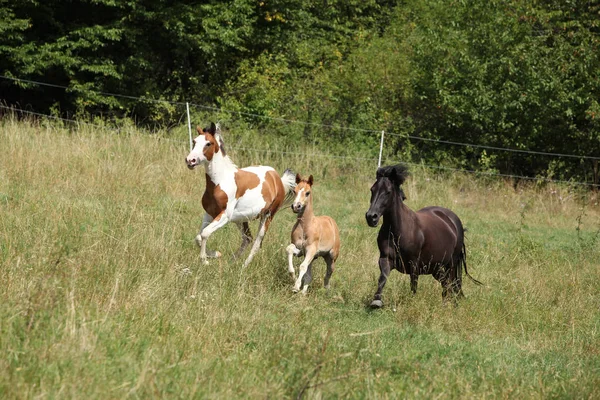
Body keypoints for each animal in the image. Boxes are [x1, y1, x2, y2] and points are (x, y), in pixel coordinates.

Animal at [184, 122, 294, 266]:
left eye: (208, 143)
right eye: (194, 141)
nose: (190, 160)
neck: (220, 181)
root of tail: (277, 178)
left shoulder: (224, 215)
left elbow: (205, 234)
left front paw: (205, 260)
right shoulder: (210, 213)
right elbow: (198, 237)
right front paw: (216, 254)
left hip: (267, 216)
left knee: (257, 242)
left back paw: (244, 265)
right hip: (241, 219)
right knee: (247, 238)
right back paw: (232, 261)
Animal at [364, 164, 480, 308]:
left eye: (388, 192)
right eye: (372, 189)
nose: (371, 217)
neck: (398, 231)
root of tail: (454, 222)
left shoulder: (414, 264)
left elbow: (413, 286)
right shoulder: (385, 258)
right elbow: (382, 278)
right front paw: (376, 301)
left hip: (451, 264)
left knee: (451, 283)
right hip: (436, 267)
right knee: (446, 284)